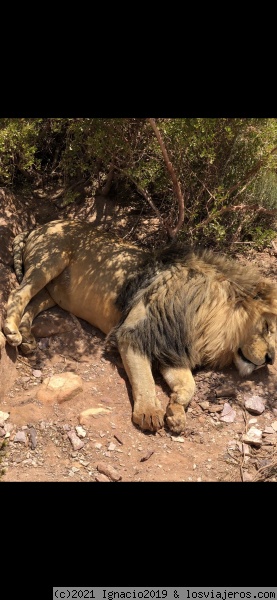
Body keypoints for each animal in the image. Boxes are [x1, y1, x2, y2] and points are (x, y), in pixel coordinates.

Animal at [2, 218, 276, 434]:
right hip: (50, 261)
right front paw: (149, 412)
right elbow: (144, 378)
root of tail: (42, 224)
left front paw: (176, 412)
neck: (206, 321)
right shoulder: (134, 334)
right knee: (18, 293)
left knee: (33, 303)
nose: (270, 359)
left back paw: (27, 339)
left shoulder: (170, 348)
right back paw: (12, 332)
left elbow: (189, 384)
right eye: (266, 327)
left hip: (54, 292)